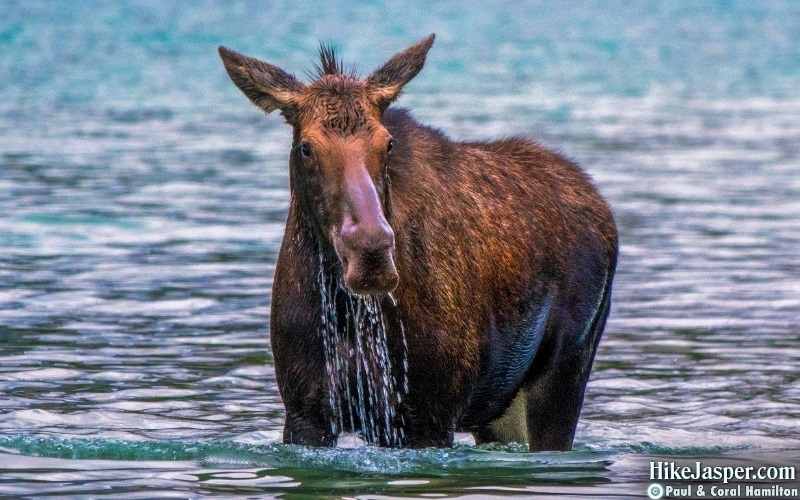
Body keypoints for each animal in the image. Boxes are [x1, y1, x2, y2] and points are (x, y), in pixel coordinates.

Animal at [219, 33, 620, 452]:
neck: (346, 313)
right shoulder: (304, 411)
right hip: (499, 406)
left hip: (565, 369)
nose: (371, 251)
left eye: (387, 143)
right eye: (306, 147)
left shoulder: (430, 415)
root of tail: (600, 204)